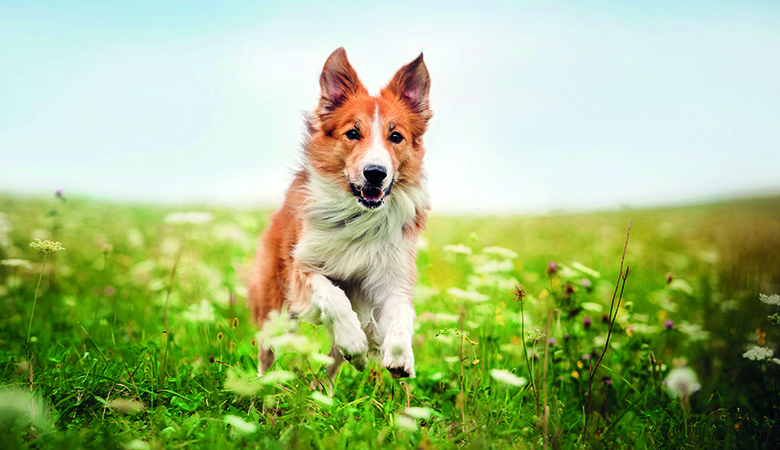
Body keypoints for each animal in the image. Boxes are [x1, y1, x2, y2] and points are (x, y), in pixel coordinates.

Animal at [248, 47, 432, 378]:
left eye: (396, 136)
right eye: (353, 133)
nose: (376, 173)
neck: (360, 216)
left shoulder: (391, 277)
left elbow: (403, 313)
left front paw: (400, 355)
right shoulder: (302, 269)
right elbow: (333, 295)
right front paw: (354, 340)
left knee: (330, 369)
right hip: (274, 307)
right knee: (267, 352)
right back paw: (263, 385)